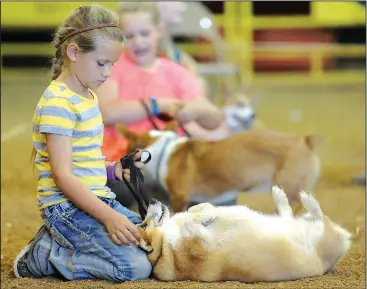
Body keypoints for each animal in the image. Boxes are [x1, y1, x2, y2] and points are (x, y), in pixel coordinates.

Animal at [117, 120, 322, 213]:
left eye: (126, 147)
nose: (119, 160)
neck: (161, 150)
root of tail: (305, 142)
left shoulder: (179, 197)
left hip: (287, 185)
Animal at [139, 184, 354, 282]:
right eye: (142, 224)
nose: (151, 200)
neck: (164, 247)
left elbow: (194, 210)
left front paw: (206, 209)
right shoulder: (200, 243)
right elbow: (192, 219)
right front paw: (208, 214)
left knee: (291, 215)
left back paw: (281, 196)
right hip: (326, 237)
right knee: (322, 218)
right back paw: (308, 201)